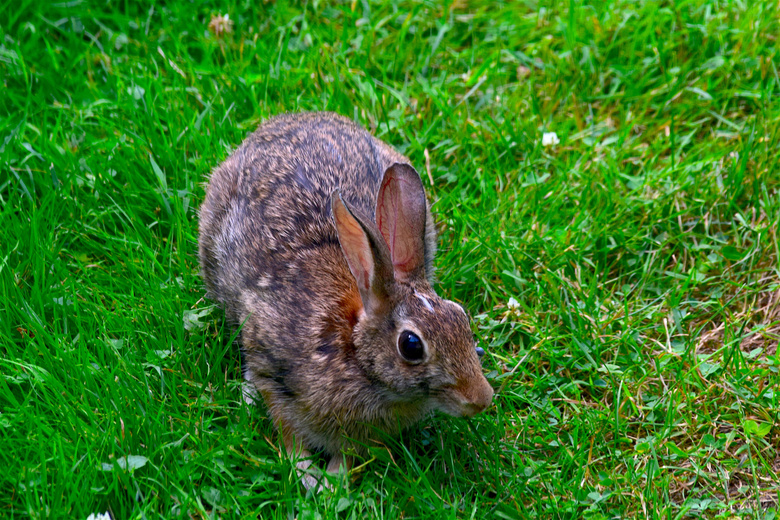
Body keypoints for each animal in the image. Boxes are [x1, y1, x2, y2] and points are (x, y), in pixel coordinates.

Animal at [201, 111, 494, 490]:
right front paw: (308, 476)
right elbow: (286, 426)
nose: (481, 399)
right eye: (411, 345)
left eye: (461, 317)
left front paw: (334, 481)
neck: (353, 352)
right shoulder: (270, 363)